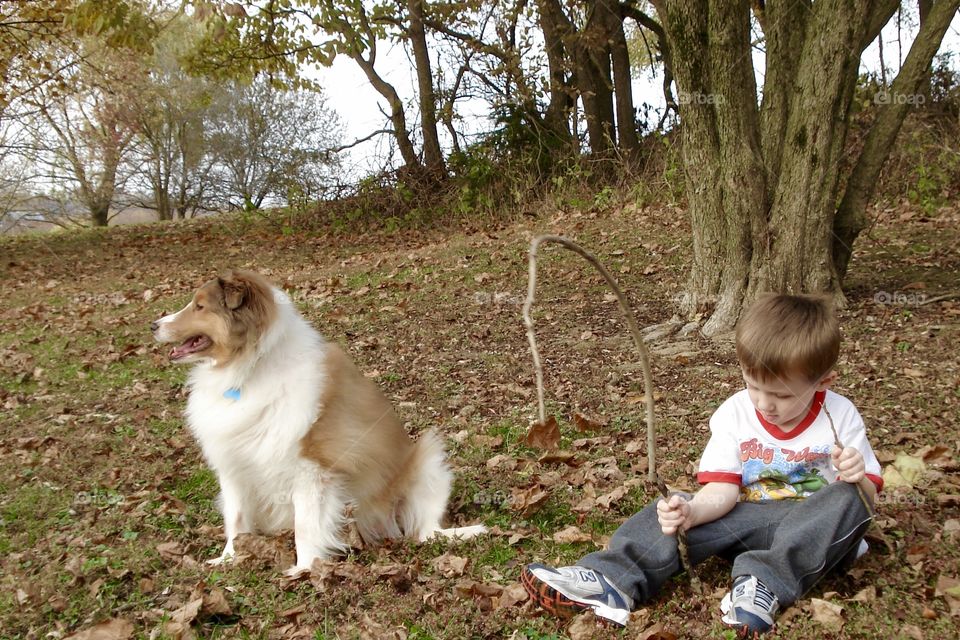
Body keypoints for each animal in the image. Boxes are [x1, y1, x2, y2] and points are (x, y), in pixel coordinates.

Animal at [151, 268, 488, 572]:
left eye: (200, 306)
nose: (153, 325)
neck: (251, 367)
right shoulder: (233, 466)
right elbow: (236, 519)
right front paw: (228, 559)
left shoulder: (310, 469)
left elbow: (306, 526)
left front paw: (305, 568)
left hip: (427, 460)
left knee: (425, 532)